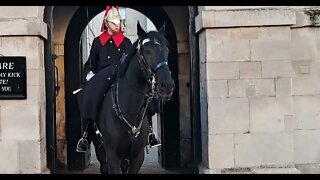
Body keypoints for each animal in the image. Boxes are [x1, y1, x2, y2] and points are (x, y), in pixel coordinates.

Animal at [90, 21, 175, 174]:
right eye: (147, 51)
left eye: (167, 51)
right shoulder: (112, 155)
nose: (167, 85)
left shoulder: (137, 156)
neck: (130, 111)